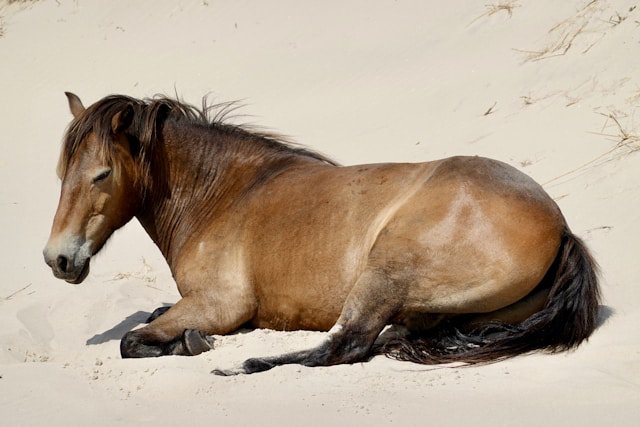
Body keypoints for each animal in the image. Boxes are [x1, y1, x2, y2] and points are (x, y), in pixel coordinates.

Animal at [43, 92, 600, 375]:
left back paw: (247, 364)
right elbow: (152, 318)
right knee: (385, 337)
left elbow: (132, 341)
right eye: (61, 173)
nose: (58, 260)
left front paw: (192, 344)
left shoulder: (220, 304)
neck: (225, 194)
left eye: (101, 175)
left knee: (344, 345)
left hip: (385, 272)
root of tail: (561, 228)